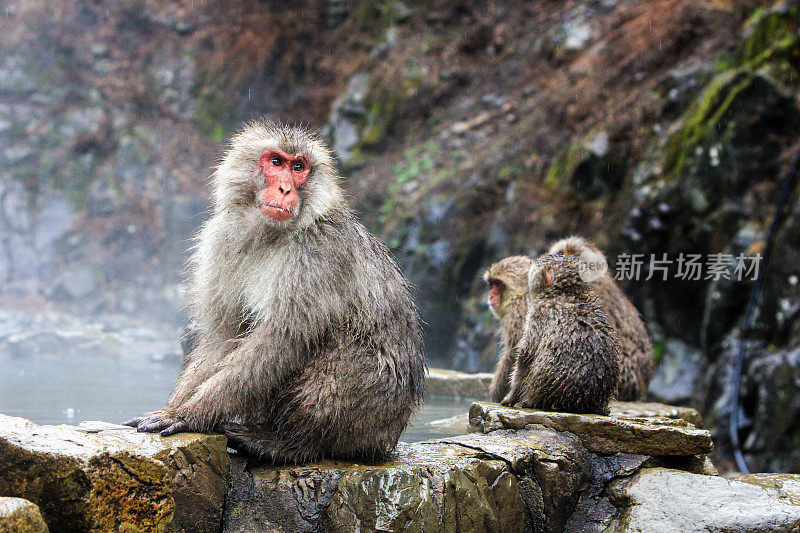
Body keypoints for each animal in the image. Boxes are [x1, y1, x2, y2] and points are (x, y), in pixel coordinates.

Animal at [125, 120, 424, 462]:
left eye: (299, 167)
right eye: (276, 162)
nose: (285, 189)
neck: (268, 233)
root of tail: (389, 435)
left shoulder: (315, 253)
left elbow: (281, 339)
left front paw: (188, 415)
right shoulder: (220, 240)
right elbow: (223, 337)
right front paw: (172, 408)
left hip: (372, 411)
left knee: (340, 346)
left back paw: (291, 443)